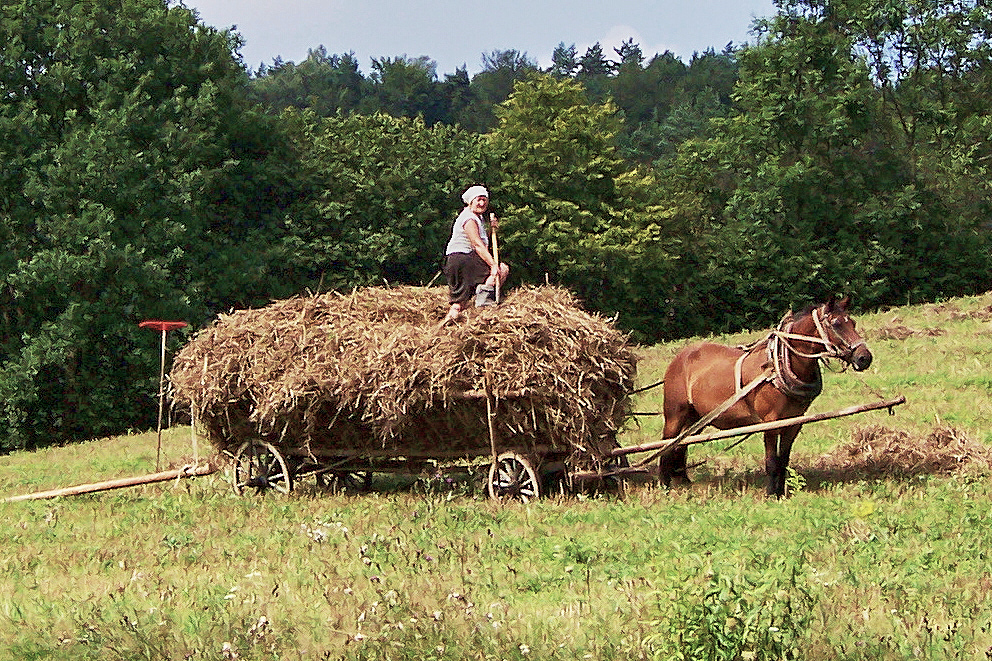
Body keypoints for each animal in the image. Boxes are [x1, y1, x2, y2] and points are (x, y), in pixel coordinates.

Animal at [664, 296, 872, 496]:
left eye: (853, 322)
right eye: (836, 324)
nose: (865, 358)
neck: (778, 366)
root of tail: (680, 357)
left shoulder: (793, 422)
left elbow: (783, 460)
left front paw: (781, 492)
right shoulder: (770, 423)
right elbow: (772, 461)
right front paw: (771, 493)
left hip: (696, 418)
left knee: (681, 444)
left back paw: (683, 480)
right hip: (675, 414)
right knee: (667, 444)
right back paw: (664, 484)